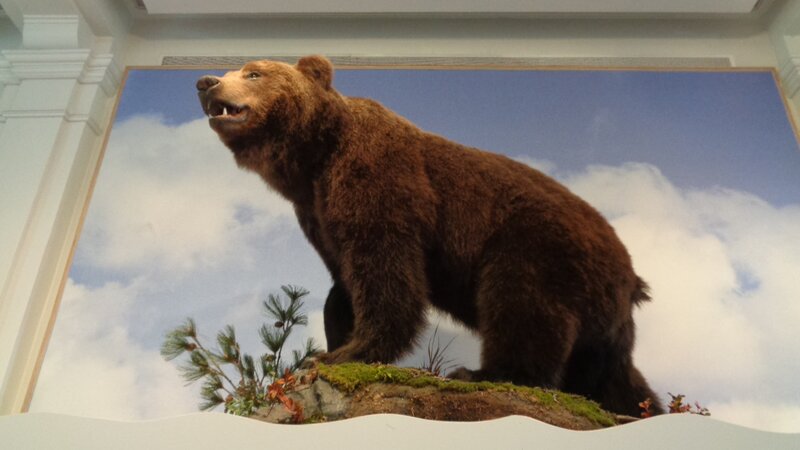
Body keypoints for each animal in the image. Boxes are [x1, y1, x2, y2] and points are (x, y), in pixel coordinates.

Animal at [196, 55, 664, 416]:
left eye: (253, 72)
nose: (206, 82)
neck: (315, 157)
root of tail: (630, 274)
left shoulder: (380, 178)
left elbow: (385, 272)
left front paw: (346, 351)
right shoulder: (318, 212)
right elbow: (343, 282)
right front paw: (333, 342)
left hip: (536, 246)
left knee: (522, 306)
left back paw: (484, 372)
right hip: (603, 318)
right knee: (612, 372)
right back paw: (641, 408)